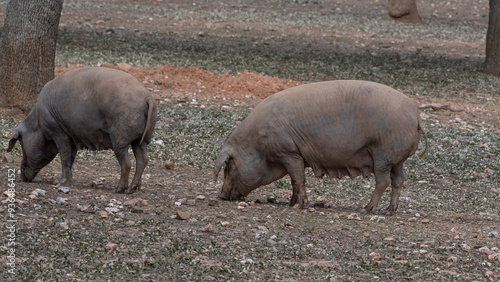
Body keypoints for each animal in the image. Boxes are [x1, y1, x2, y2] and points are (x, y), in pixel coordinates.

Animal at [6, 66, 156, 194]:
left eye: (22, 144)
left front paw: (59, 184)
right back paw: (133, 189)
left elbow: (64, 155)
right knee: (143, 159)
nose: (22, 177)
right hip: (142, 139)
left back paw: (119, 189)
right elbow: (71, 157)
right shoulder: (72, 136)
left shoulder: (57, 131)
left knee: (127, 163)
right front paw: (68, 183)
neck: (38, 124)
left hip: (120, 137)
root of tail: (147, 97)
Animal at [213, 79, 428, 214]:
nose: (221, 196)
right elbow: (294, 181)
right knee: (399, 180)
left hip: (381, 154)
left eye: (228, 166)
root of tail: (416, 115)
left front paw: (299, 206)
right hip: (397, 160)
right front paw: (290, 203)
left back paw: (366, 209)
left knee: (383, 181)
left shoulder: (289, 153)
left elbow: (298, 179)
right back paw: (390, 211)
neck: (258, 145)